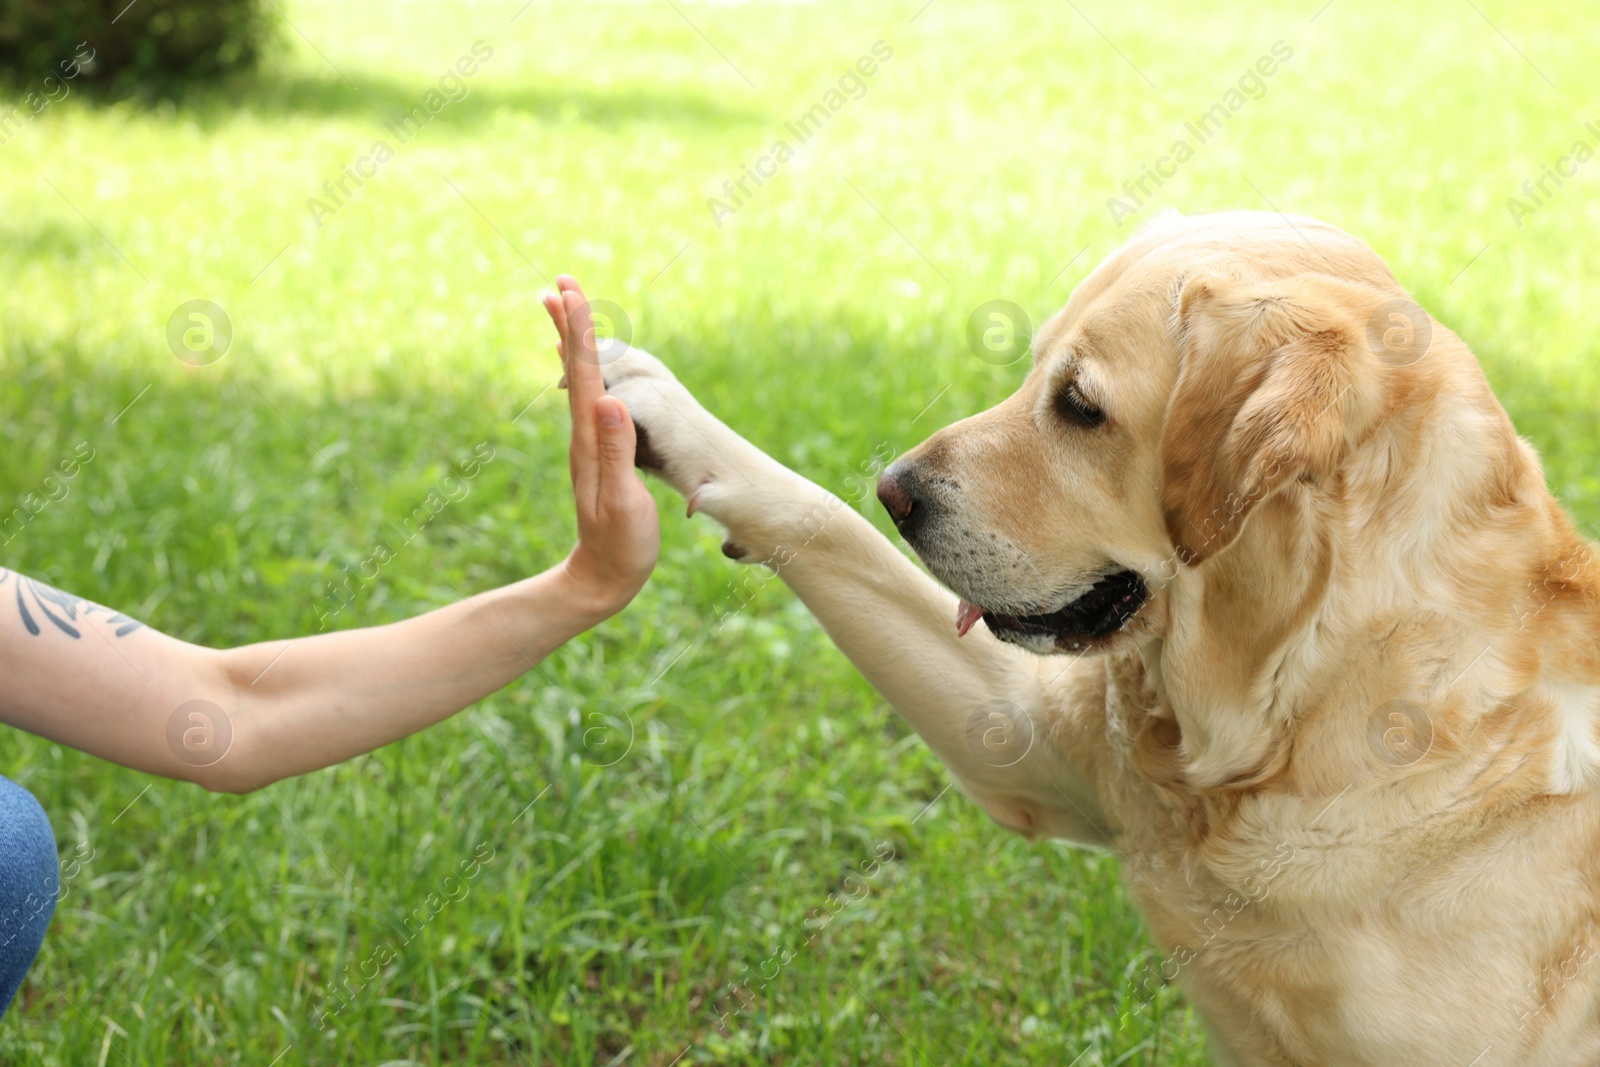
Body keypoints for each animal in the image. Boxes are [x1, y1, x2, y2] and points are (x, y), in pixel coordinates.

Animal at [595, 212, 1600, 1062]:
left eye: (1079, 405)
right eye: (1033, 369)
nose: (895, 491)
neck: (1290, 713)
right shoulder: (1024, 739)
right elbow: (820, 518)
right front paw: (653, 403)